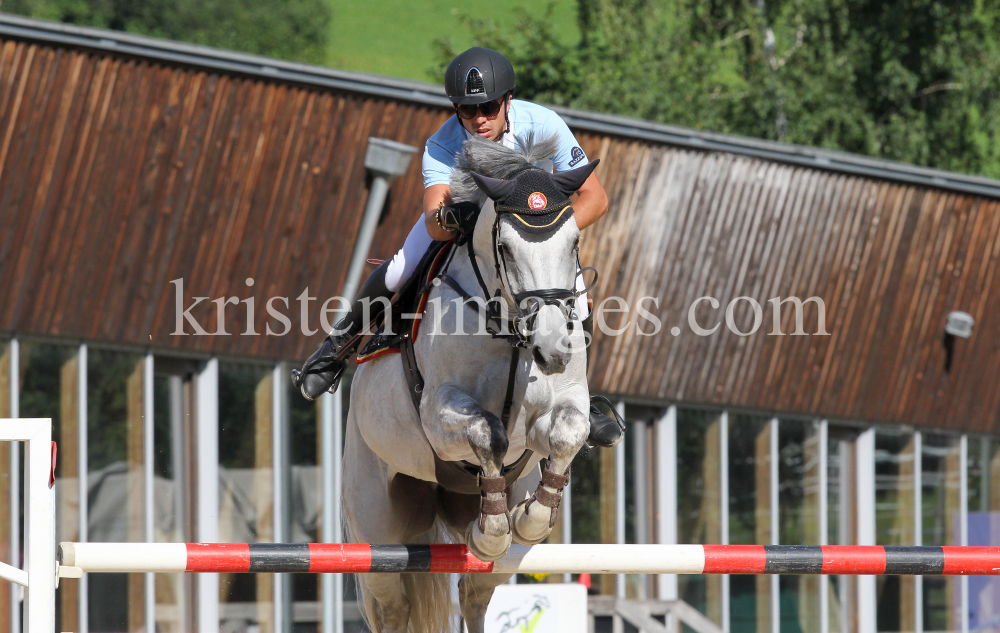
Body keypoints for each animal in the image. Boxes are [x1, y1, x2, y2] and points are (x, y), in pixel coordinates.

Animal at [340, 133, 596, 632]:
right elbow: (486, 431)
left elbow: (569, 433)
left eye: (574, 241)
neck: (511, 331)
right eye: (507, 248)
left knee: (474, 595)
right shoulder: (439, 417)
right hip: (375, 531)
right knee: (392, 607)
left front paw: (528, 518)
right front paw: (492, 531)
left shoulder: (548, 418)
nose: (555, 349)